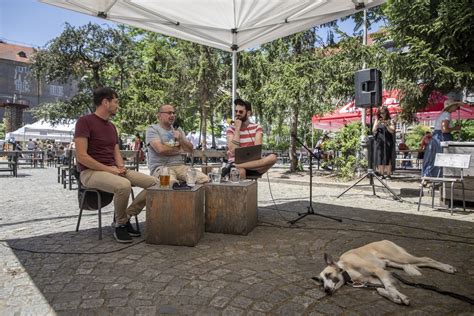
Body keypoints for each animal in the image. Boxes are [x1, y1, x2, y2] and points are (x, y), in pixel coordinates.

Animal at [314, 241, 456, 304]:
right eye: (321, 282)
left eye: (328, 275)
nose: (326, 290)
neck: (347, 269)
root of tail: (384, 240)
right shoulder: (375, 279)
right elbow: (381, 289)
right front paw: (396, 297)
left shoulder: (378, 271)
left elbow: (388, 286)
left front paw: (399, 296)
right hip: (395, 263)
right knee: (422, 262)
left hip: (400, 257)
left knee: (427, 258)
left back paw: (447, 268)